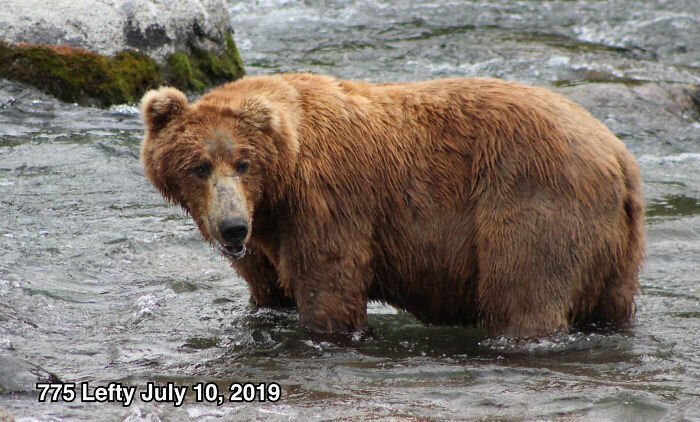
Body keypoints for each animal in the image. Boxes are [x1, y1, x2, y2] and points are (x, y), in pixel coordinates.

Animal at [138, 71, 644, 336]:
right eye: (199, 166)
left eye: (243, 163)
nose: (231, 228)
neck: (278, 191)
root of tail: (618, 153)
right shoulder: (266, 239)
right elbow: (268, 292)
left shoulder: (327, 206)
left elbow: (330, 288)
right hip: (616, 245)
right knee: (611, 305)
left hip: (534, 200)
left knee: (523, 291)